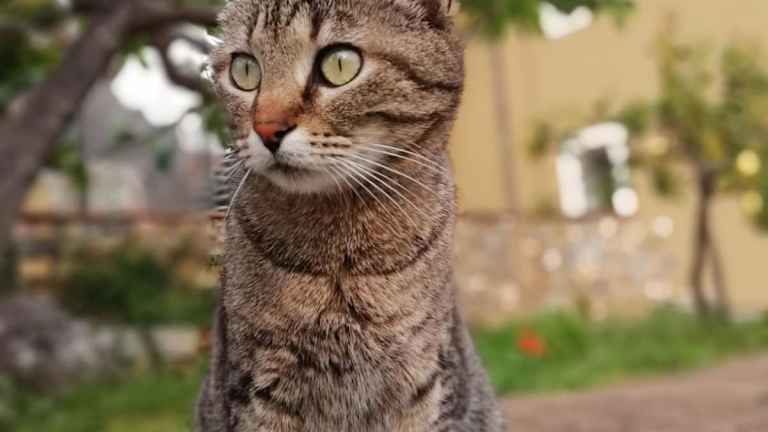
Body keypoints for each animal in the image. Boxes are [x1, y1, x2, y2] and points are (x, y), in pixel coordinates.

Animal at [196, 1, 505, 431]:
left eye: (339, 64)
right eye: (245, 70)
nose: (267, 129)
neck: (342, 253)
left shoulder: (426, 380)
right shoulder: (256, 387)